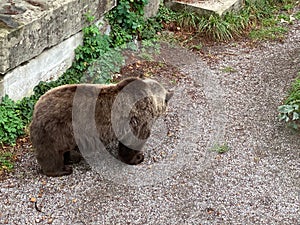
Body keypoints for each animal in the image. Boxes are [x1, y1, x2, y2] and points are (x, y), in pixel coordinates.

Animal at [29, 76, 173, 177]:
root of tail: (36, 108)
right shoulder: (137, 119)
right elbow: (132, 142)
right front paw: (137, 157)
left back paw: (73, 158)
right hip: (55, 128)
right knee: (51, 153)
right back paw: (62, 169)